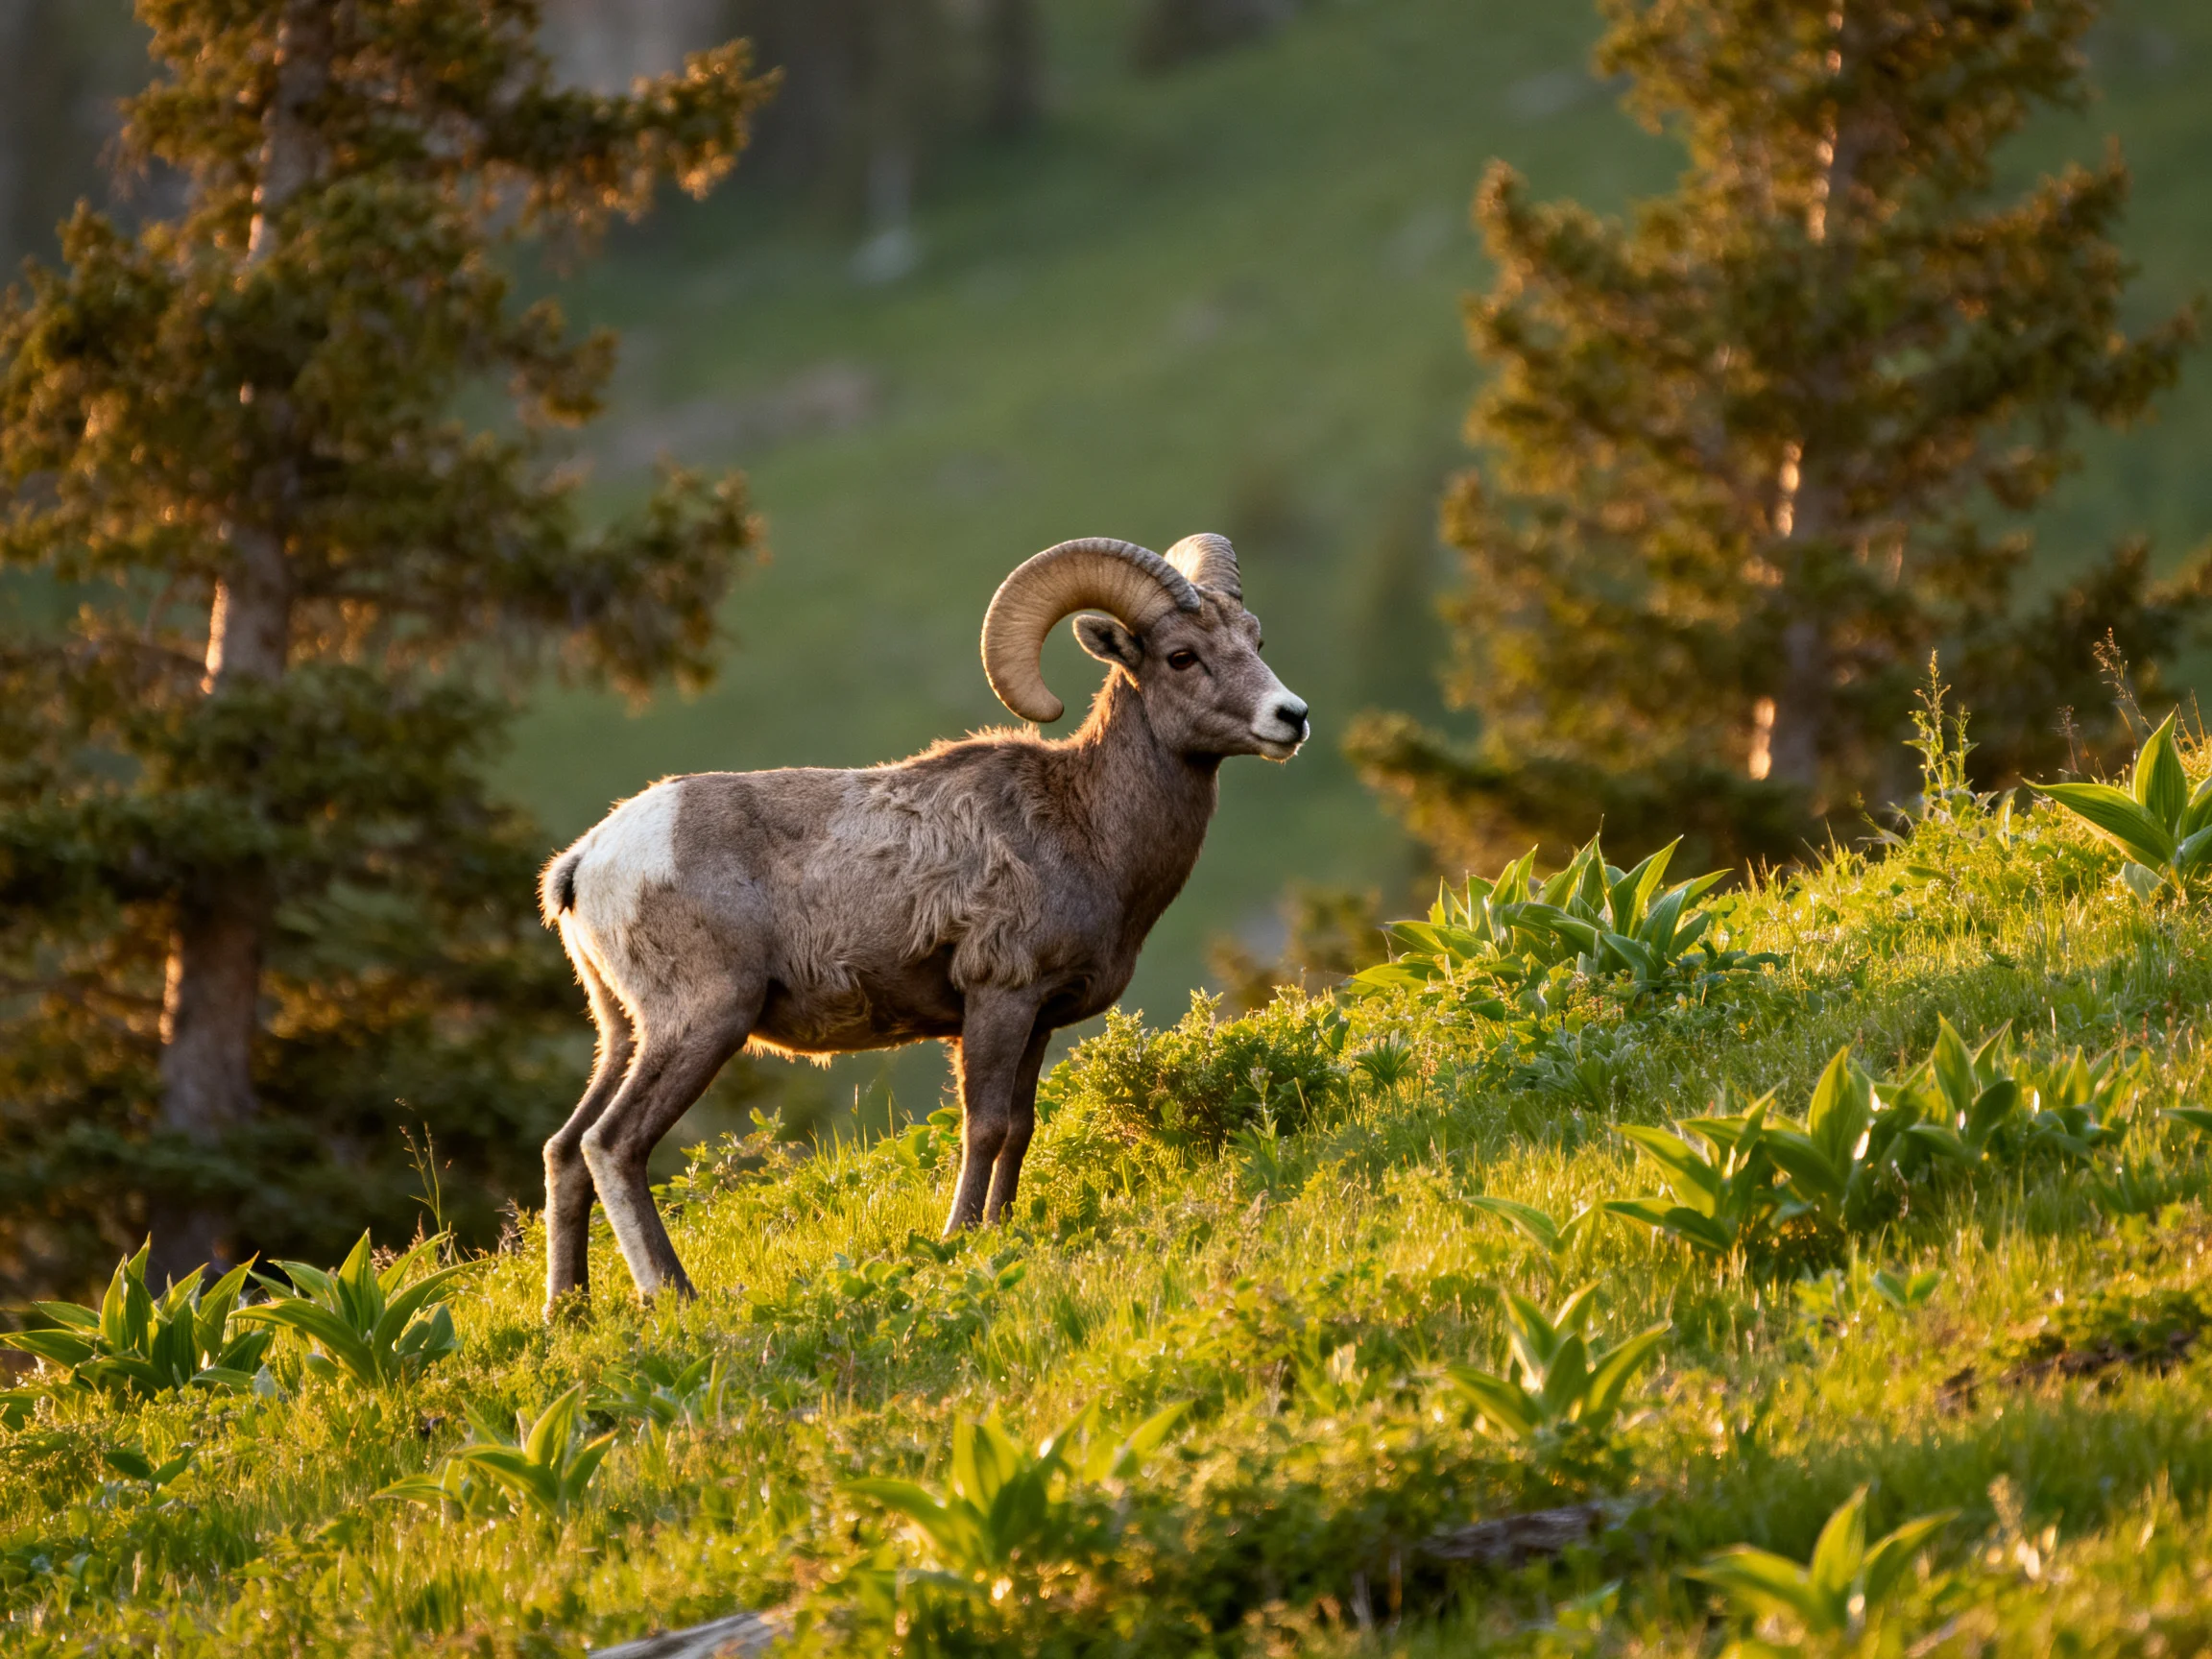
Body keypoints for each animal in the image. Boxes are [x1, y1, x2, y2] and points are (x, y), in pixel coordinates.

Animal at [536, 533, 1309, 1312]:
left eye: (1254, 640)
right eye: (1181, 655)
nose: (1291, 716)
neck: (1085, 826)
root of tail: (585, 861)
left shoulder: (1038, 1019)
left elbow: (1021, 1128)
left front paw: (1000, 1230)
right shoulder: (998, 999)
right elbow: (985, 1127)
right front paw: (959, 1237)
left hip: (623, 1033)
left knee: (566, 1148)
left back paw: (568, 1313)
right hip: (702, 1021)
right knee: (613, 1145)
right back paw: (673, 1295)